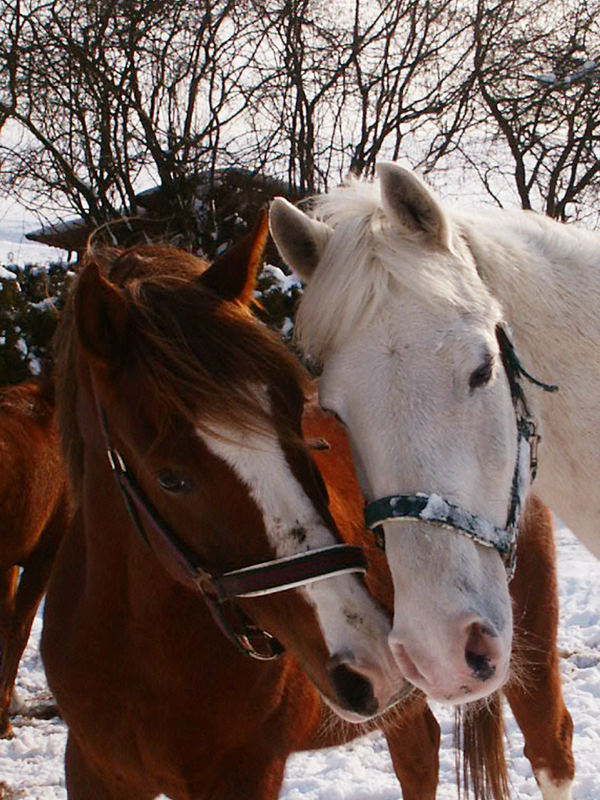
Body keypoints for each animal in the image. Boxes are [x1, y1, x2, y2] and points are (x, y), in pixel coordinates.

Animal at [41, 216, 572, 796]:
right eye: (171, 478)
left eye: (297, 422)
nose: (371, 661)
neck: (140, 652)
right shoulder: (93, 770)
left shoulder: (246, 772)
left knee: (551, 749)